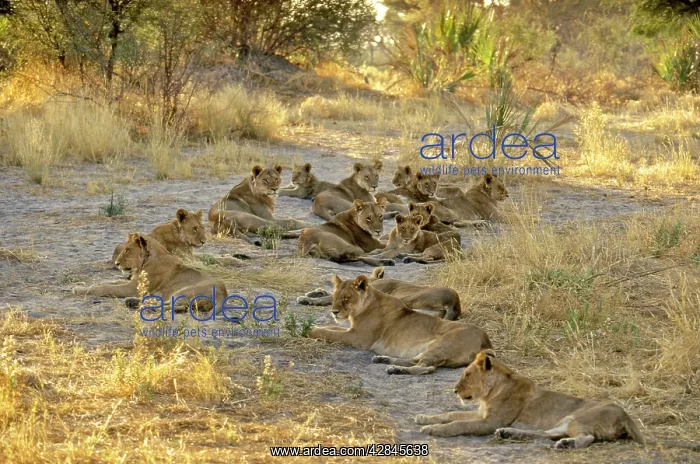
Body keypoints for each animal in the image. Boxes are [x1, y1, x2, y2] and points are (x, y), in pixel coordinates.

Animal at [73, 233, 227, 312]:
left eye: (127, 250)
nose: (116, 263)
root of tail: (224, 295)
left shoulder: (133, 288)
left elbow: (106, 287)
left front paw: (78, 290)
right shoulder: (132, 282)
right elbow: (108, 282)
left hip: (184, 291)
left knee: (177, 306)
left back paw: (140, 305)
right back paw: (133, 302)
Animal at [307, 274, 492, 375]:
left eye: (346, 298)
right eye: (335, 296)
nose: (334, 312)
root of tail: (487, 342)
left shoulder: (358, 338)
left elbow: (330, 333)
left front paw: (309, 330)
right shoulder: (352, 330)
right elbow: (331, 328)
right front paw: (313, 326)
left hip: (443, 344)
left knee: (427, 367)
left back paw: (395, 369)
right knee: (415, 361)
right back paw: (384, 359)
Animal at [416, 352, 700, 451]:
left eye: (466, 374)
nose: (454, 389)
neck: (492, 390)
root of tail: (626, 414)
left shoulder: (489, 421)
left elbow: (458, 424)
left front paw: (432, 429)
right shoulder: (484, 415)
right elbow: (452, 414)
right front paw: (425, 418)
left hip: (579, 417)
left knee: (587, 438)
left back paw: (567, 445)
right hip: (564, 420)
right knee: (548, 434)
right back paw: (510, 434)